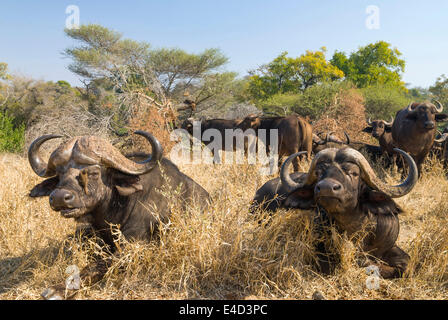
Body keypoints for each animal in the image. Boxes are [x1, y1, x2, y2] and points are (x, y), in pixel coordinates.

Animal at [28, 131, 210, 300]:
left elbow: (97, 265)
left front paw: (59, 289)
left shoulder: (135, 246)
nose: (59, 197)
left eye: (93, 173)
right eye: (59, 175)